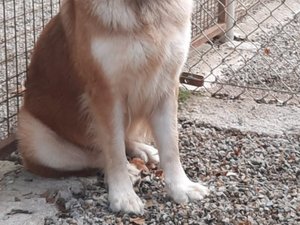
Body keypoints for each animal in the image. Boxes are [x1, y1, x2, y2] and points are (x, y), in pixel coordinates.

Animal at [17, 0, 209, 214]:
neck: (142, 7)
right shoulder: (107, 94)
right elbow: (114, 150)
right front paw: (123, 196)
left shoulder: (166, 85)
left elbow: (170, 146)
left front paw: (181, 187)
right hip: (33, 135)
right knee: (93, 155)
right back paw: (129, 169)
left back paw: (144, 150)